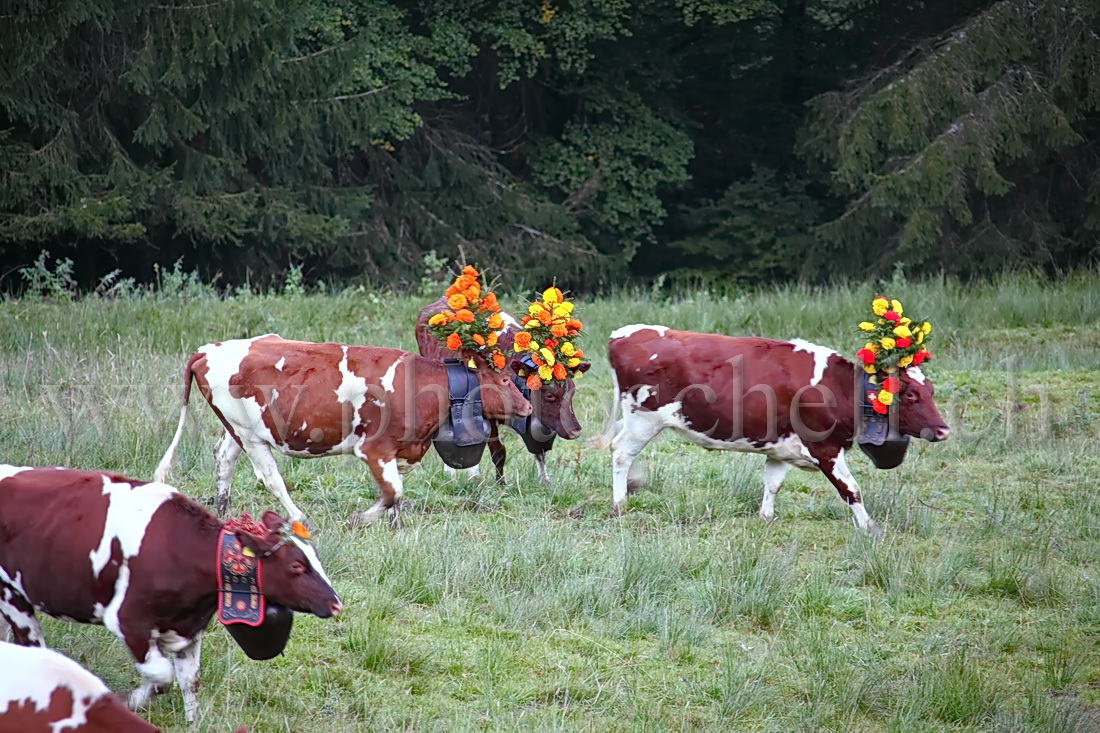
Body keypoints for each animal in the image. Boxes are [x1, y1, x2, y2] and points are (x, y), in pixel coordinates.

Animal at [0, 462, 341, 717]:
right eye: (297, 565)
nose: (336, 603)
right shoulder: (129, 621)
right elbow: (162, 676)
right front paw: (129, 701)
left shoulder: (188, 629)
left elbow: (190, 681)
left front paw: (194, 722)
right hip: (12, 595)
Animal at [157, 330, 530, 526]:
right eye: (505, 379)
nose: (527, 407)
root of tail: (207, 349)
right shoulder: (375, 449)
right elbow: (393, 491)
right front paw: (361, 520)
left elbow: (396, 494)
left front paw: (396, 527)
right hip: (249, 435)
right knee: (271, 478)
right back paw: (300, 518)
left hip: (240, 428)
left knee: (224, 459)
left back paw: (222, 513)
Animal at [598, 325, 950, 537]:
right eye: (910, 394)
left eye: (931, 390)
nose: (943, 430)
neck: (839, 387)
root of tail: (623, 333)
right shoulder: (825, 448)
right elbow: (851, 489)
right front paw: (869, 527)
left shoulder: (780, 446)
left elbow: (773, 483)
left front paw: (766, 517)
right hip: (644, 419)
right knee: (621, 452)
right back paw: (620, 502)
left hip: (638, 420)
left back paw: (633, 485)